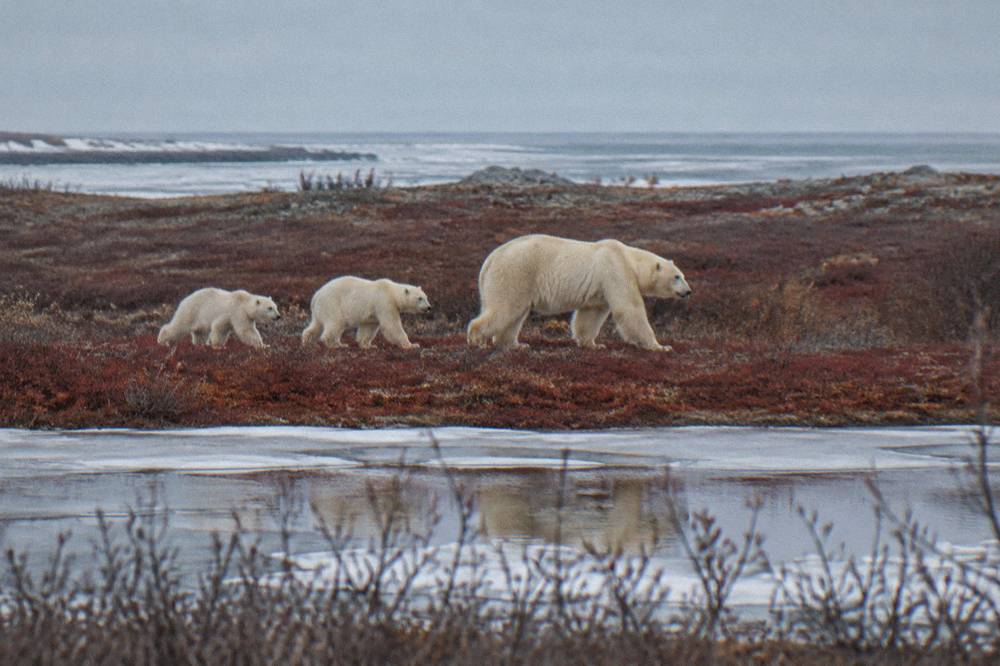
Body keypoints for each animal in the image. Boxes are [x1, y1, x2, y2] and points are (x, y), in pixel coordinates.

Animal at [301, 276, 431, 349]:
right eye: (419, 298)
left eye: (426, 297)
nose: (429, 307)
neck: (392, 292)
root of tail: (315, 296)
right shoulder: (384, 302)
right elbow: (392, 325)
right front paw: (411, 345)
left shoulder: (372, 312)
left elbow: (368, 327)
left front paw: (367, 345)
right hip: (332, 305)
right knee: (335, 324)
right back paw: (333, 344)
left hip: (320, 310)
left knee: (316, 325)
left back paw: (307, 341)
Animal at [467, 234, 691, 351]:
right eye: (677, 276)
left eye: (682, 275)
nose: (689, 291)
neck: (629, 259)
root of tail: (490, 260)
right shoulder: (615, 271)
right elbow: (629, 309)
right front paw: (660, 346)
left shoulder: (600, 288)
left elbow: (590, 315)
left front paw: (592, 344)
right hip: (515, 274)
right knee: (504, 309)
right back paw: (477, 340)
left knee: (514, 314)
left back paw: (515, 344)